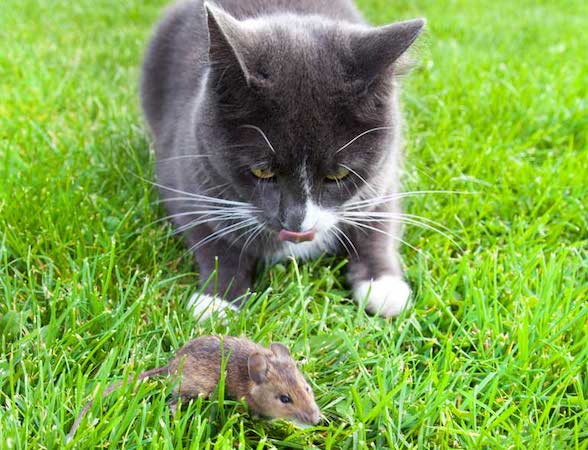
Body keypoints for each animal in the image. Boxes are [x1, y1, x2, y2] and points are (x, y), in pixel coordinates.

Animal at [141, 0, 428, 320]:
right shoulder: (187, 169)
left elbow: (380, 223)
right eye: (262, 172)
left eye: (339, 175)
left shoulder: (383, 175)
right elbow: (210, 235)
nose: (296, 223)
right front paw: (218, 298)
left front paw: (383, 285)